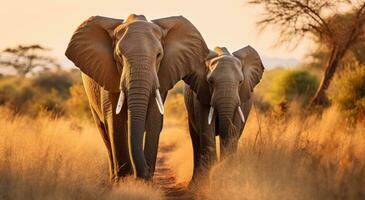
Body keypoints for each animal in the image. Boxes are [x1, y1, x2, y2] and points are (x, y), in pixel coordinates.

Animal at [64, 13, 208, 180]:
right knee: (104, 132)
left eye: (159, 55)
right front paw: (124, 180)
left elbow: (154, 118)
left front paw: (146, 180)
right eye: (119, 56)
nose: (143, 172)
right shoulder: (108, 74)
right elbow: (114, 119)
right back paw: (114, 177)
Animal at [183, 45, 264, 183]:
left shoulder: (241, 99)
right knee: (196, 141)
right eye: (210, 81)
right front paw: (206, 184)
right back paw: (194, 184)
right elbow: (206, 131)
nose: (221, 166)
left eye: (240, 82)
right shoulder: (200, 94)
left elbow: (233, 130)